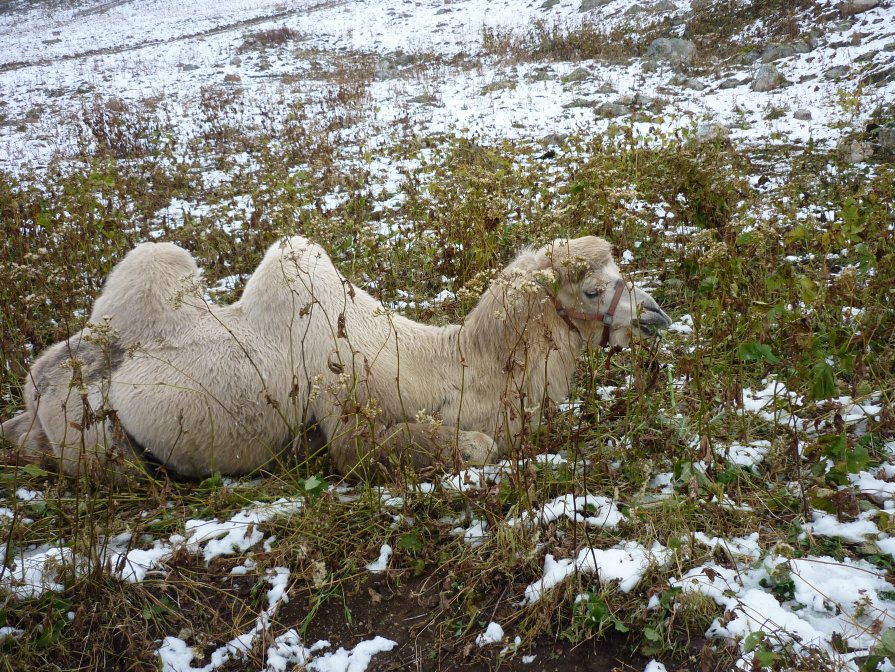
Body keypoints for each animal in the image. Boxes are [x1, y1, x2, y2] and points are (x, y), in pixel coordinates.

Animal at [1, 236, 672, 478]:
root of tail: (42, 378)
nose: (656, 314)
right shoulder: (351, 424)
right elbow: (474, 446)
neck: (445, 368)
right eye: (592, 290)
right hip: (92, 439)